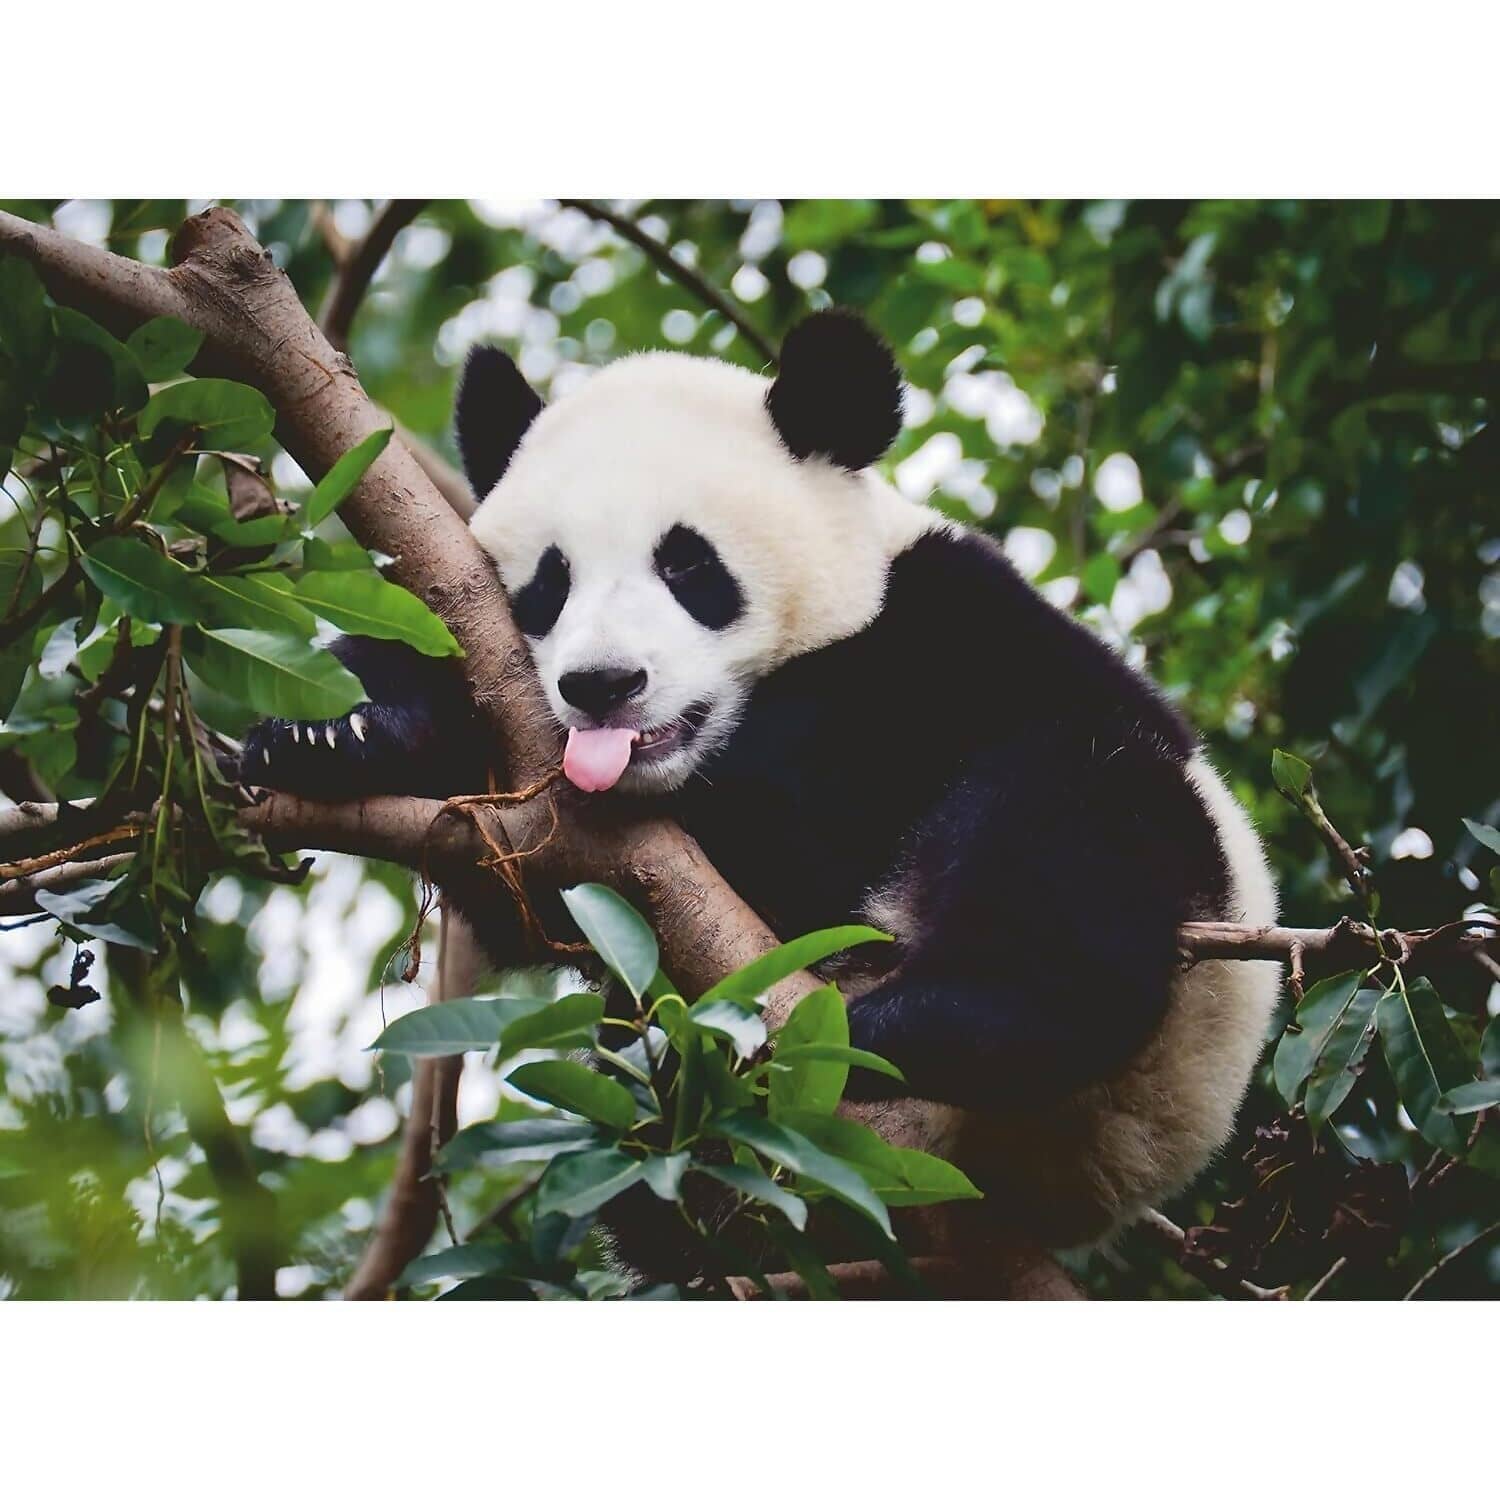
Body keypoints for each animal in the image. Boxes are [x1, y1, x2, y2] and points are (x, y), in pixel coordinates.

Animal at [242, 308, 1280, 1251]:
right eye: (549, 582)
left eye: (689, 565)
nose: (604, 685)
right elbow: (519, 888)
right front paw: (332, 730)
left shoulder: (945, 640)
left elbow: (810, 813)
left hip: (1166, 1003)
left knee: (1072, 826)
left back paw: (913, 1024)